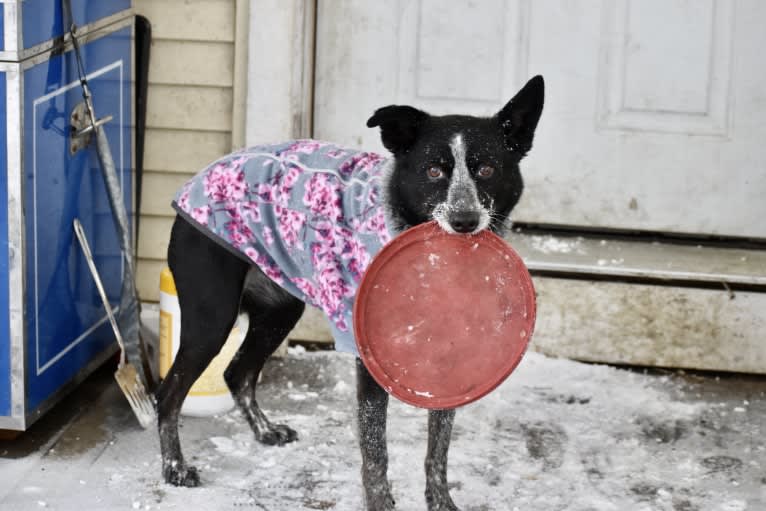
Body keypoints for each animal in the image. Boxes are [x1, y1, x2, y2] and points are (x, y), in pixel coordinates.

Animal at [156, 74, 544, 510]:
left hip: (279, 311)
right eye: (432, 171)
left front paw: (441, 502)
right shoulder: (369, 357)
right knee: (169, 393)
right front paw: (381, 503)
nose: (465, 220)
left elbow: (438, 448)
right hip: (213, 316)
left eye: (488, 168)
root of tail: (197, 179)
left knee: (237, 372)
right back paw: (175, 467)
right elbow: (375, 449)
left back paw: (265, 430)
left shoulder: (449, 368)